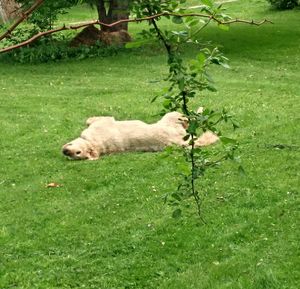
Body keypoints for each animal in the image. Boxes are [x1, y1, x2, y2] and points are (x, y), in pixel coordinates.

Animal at [62, 110, 218, 160]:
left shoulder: (104, 120)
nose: (66, 152)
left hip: (173, 115)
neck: (94, 144)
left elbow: (89, 120)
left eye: (78, 152)